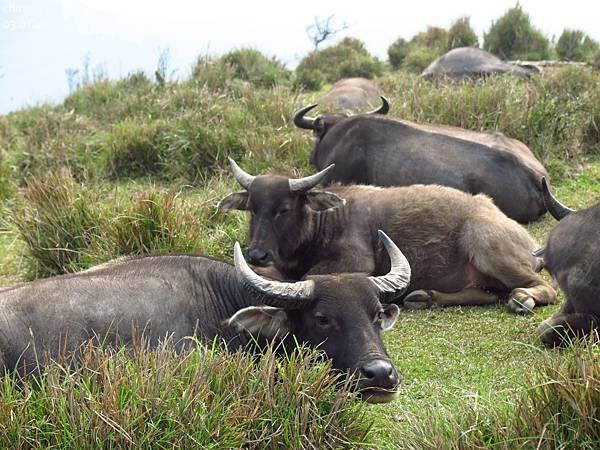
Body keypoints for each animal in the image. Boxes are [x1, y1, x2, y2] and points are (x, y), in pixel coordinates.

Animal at [218, 160, 556, 314]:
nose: (257, 253)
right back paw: (424, 297)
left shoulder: (355, 262)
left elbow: (303, 280)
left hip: (486, 245)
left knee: (543, 289)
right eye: (253, 209)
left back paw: (523, 299)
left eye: (284, 209)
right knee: (487, 293)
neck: (324, 222)